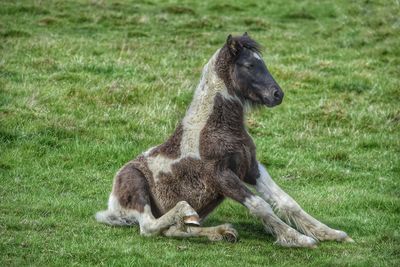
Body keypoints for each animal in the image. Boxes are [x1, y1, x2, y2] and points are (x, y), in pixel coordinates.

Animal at [97, 33, 354, 249]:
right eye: (249, 65)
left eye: (262, 63)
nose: (277, 94)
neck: (213, 128)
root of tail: (112, 206)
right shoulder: (221, 176)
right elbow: (260, 205)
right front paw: (298, 238)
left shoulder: (251, 168)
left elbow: (287, 202)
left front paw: (332, 234)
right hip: (137, 185)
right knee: (149, 226)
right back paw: (186, 211)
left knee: (173, 231)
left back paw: (221, 231)